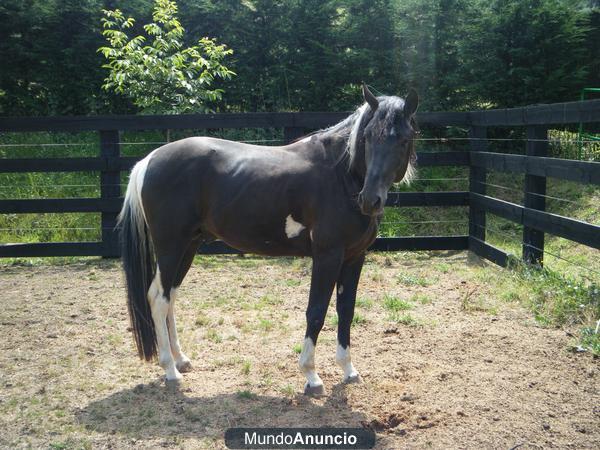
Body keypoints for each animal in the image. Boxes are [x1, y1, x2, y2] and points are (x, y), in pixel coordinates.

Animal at [117, 84, 418, 394]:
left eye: (404, 139)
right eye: (368, 136)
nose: (370, 200)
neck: (341, 175)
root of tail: (148, 160)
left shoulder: (354, 257)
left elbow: (346, 311)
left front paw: (348, 370)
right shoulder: (327, 256)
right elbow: (316, 311)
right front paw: (311, 375)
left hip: (188, 246)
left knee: (171, 297)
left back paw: (181, 360)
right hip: (170, 248)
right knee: (158, 298)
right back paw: (170, 371)